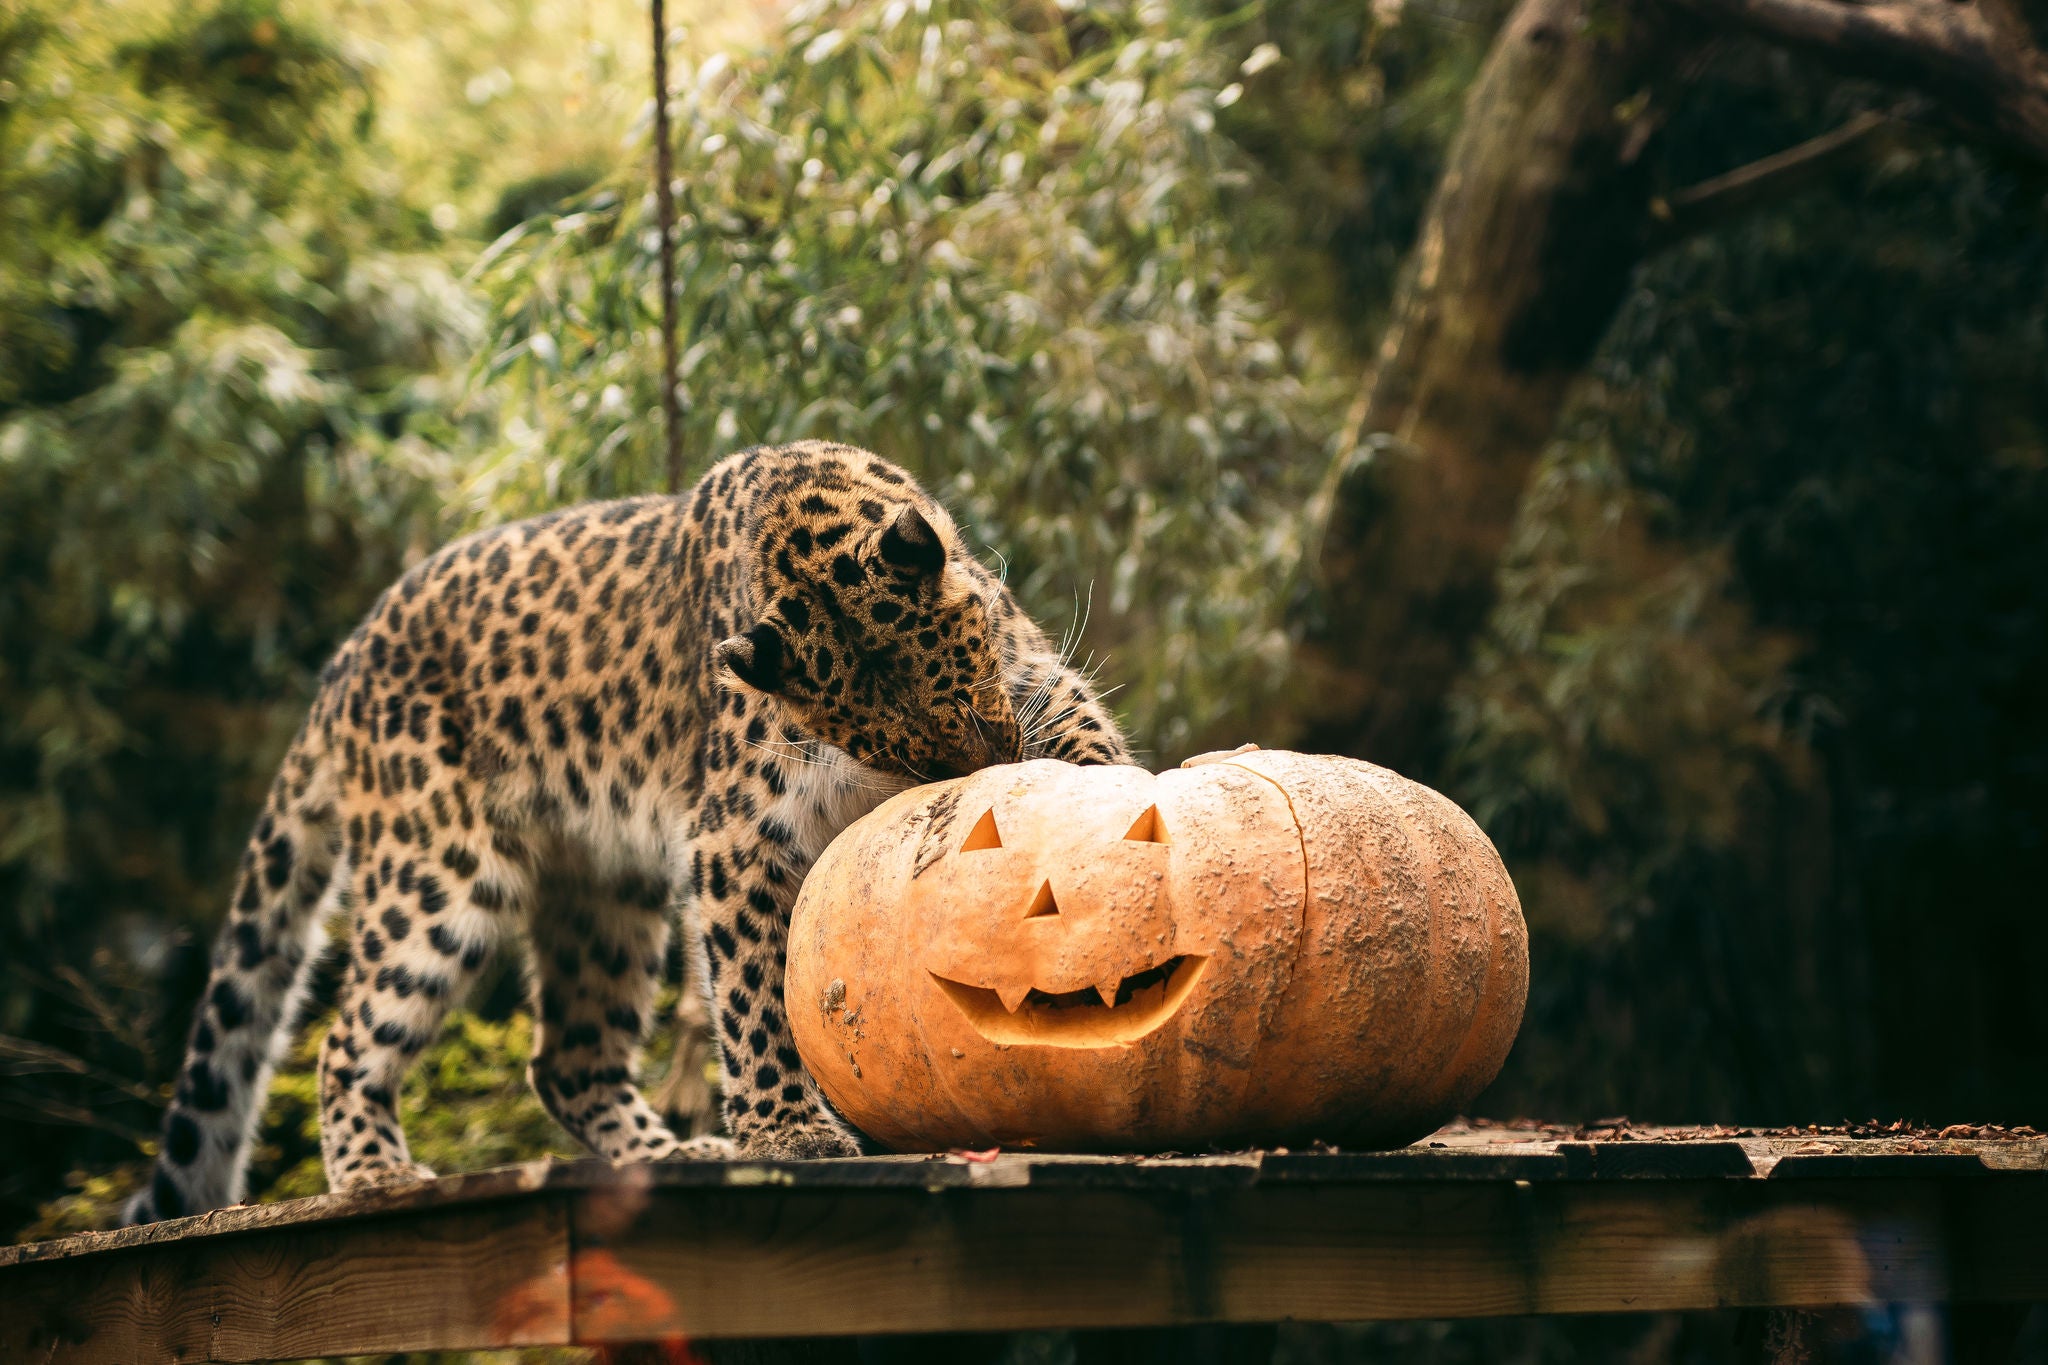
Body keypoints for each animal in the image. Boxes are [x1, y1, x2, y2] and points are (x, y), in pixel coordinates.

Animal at [123, 439, 1138, 1227]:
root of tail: (343, 661)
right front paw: (787, 1132)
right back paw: (376, 1175)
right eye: (884, 745)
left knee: (568, 1057)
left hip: (603, 893)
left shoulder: (1039, 679)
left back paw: (668, 1150)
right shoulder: (736, 831)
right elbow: (750, 992)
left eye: (964, 692)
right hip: (439, 875)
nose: (981, 774)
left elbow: (1089, 746)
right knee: (349, 1038)